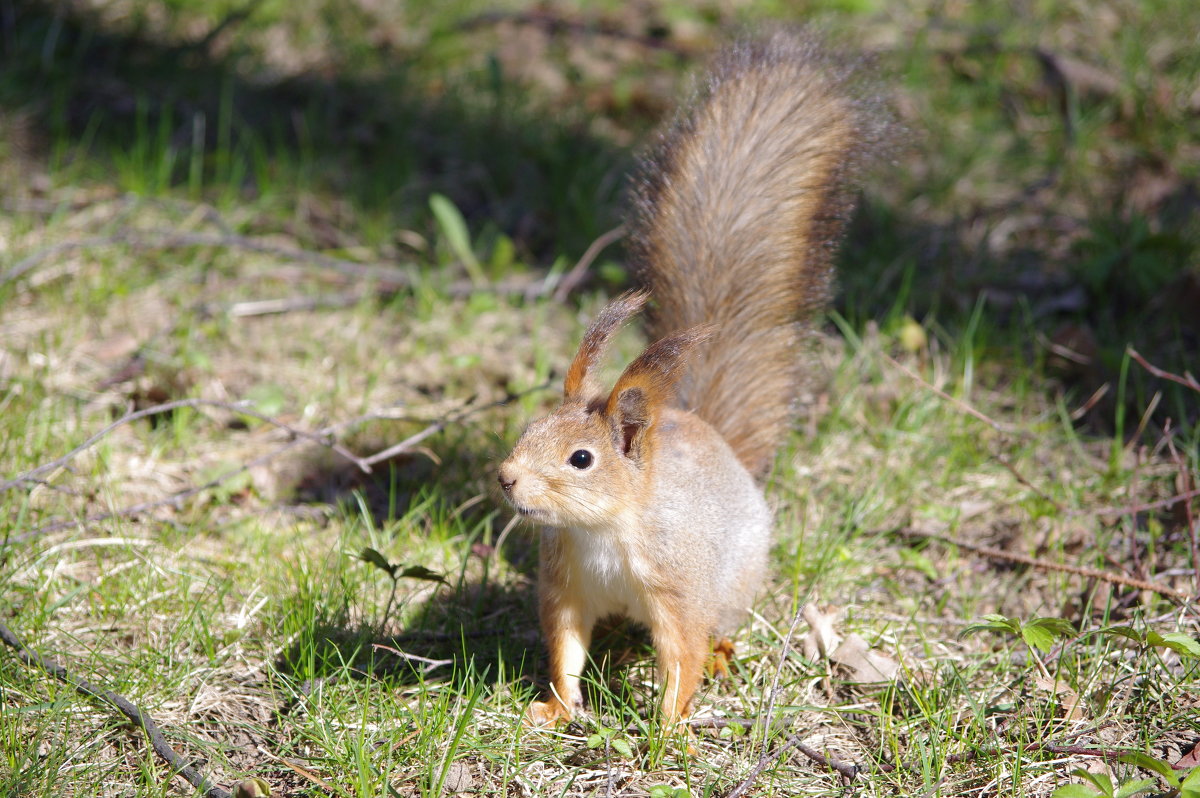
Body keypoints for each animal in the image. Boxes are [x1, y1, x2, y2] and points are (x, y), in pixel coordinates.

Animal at [499, 31, 892, 724]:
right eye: (529, 427)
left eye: (581, 458)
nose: (506, 477)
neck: (603, 532)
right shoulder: (565, 586)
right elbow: (565, 647)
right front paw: (557, 707)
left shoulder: (678, 585)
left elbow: (681, 650)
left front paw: (666, 727)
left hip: (732, 581)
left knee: (715, 627)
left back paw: (722, 654)